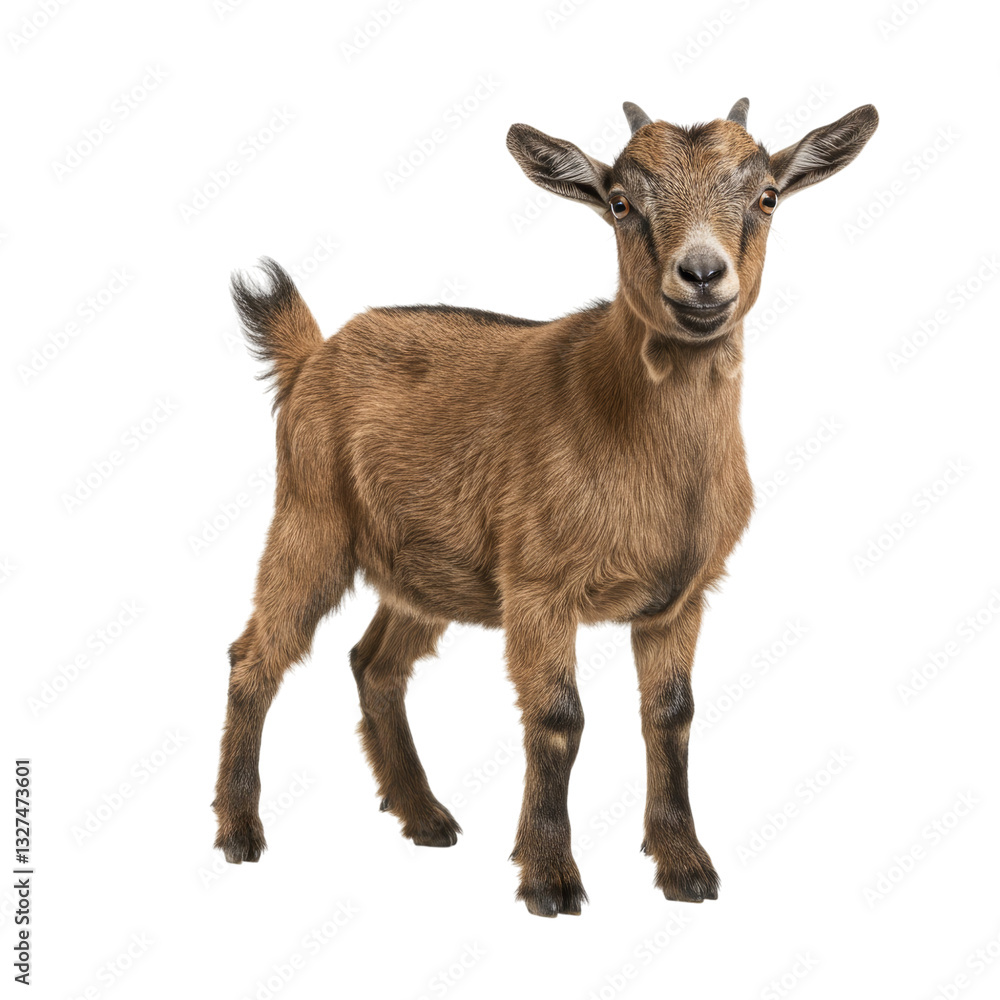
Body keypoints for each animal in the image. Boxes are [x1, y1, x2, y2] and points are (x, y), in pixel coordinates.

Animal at [213, 97, 878, 916]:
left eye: (768, 197)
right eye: (621, 203)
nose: (700, 275)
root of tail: (311, 353)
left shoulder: (680, 598)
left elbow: (673, 716)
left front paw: (686, 866)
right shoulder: (538, 586)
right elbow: (559, 718)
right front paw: (551, 878)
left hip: (427, 570)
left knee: (375, 664)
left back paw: (424, 816)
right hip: (309, 520)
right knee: (255, 656)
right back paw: (240, 831)